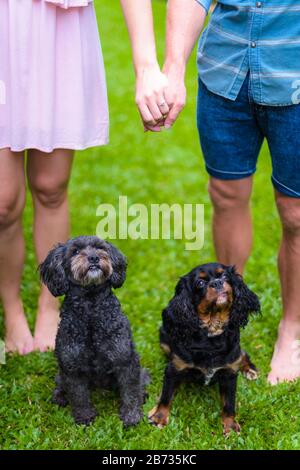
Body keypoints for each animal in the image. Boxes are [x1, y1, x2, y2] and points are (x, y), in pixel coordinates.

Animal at [38, 235, 149, 426]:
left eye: (100, 248)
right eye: (75, 251)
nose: (94, 258)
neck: (91, 310)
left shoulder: (125, 359)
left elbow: (130, 391)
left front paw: (132, 416)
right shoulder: (72, 366)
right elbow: (79, 396)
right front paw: (84, 417)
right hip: (62, 371)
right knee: (61, 383)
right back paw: (60, 396)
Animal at [149, 262, 260, 436]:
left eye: (224, 276)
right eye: (200, 283)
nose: (217, 283)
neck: (212, 330)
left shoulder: (229, 373)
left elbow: (229, 404)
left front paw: (230, 426)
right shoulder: (174, 368)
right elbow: (166, 396)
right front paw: (159, 417)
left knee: (242, 354)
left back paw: (249, 369)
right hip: (164, 340)